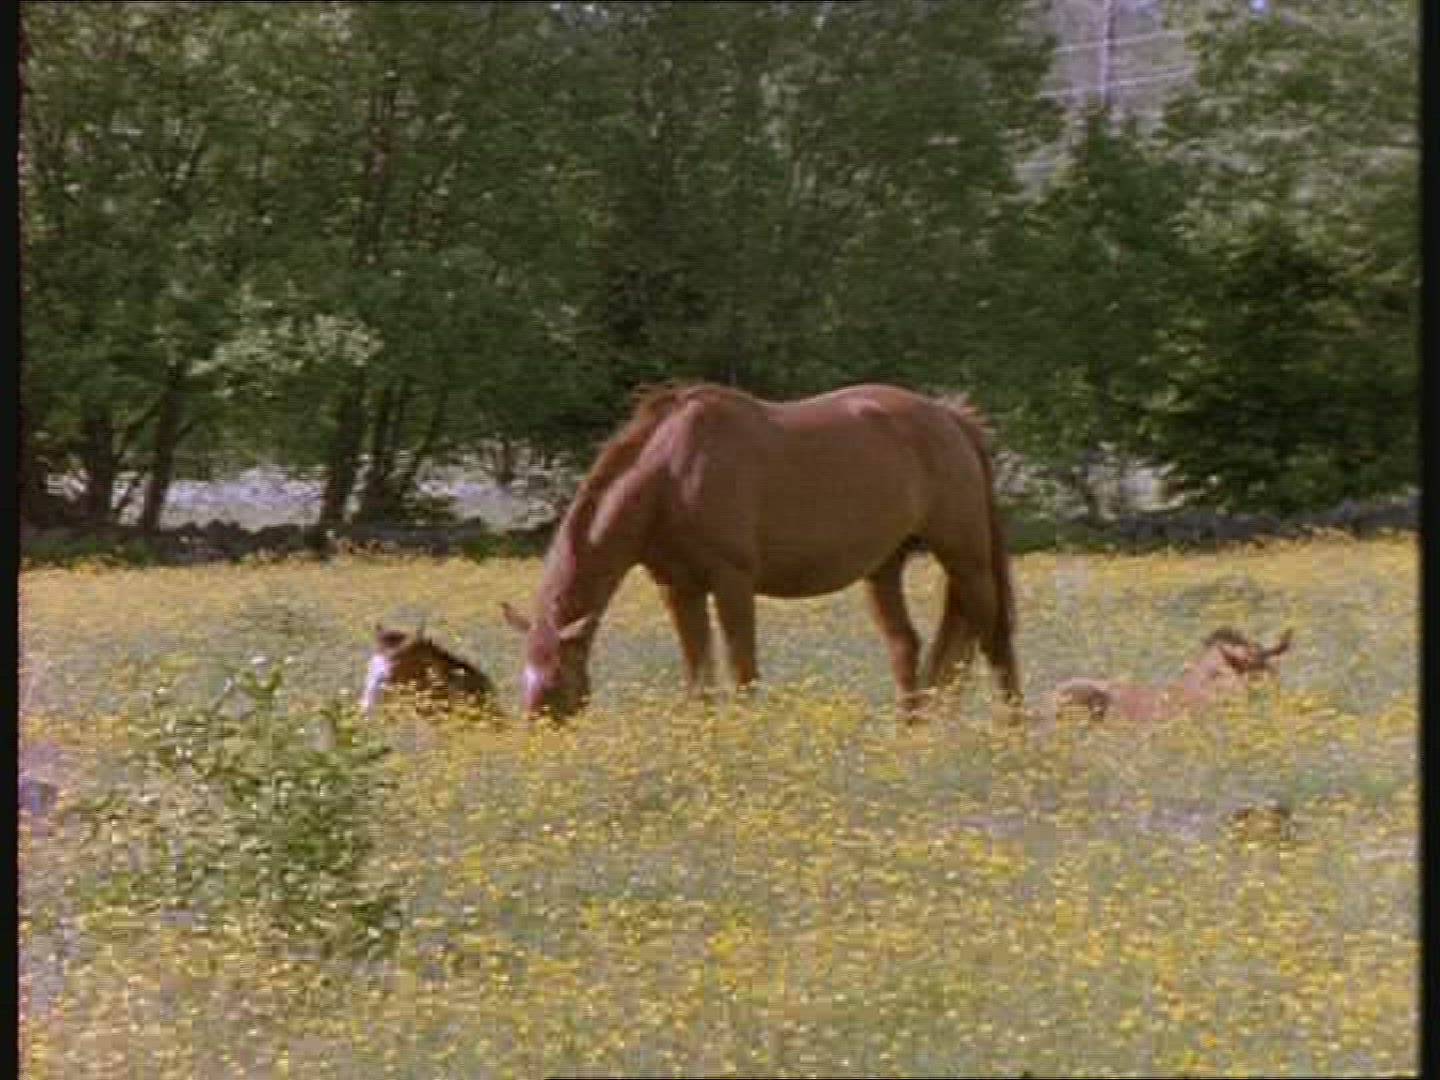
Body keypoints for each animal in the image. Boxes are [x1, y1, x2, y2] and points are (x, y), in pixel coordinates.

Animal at [501, 382, 1021, 720]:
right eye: (523, 682)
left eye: (556, 686)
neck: (670, 474)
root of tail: (951, 419)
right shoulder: (678, 588)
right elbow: (699, 677)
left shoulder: (732, 582)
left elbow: (742, 669)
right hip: (884, 567)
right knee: (905, 646)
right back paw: (909, 733)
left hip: (966, 557)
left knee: (995, 638)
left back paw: (1011, 729)